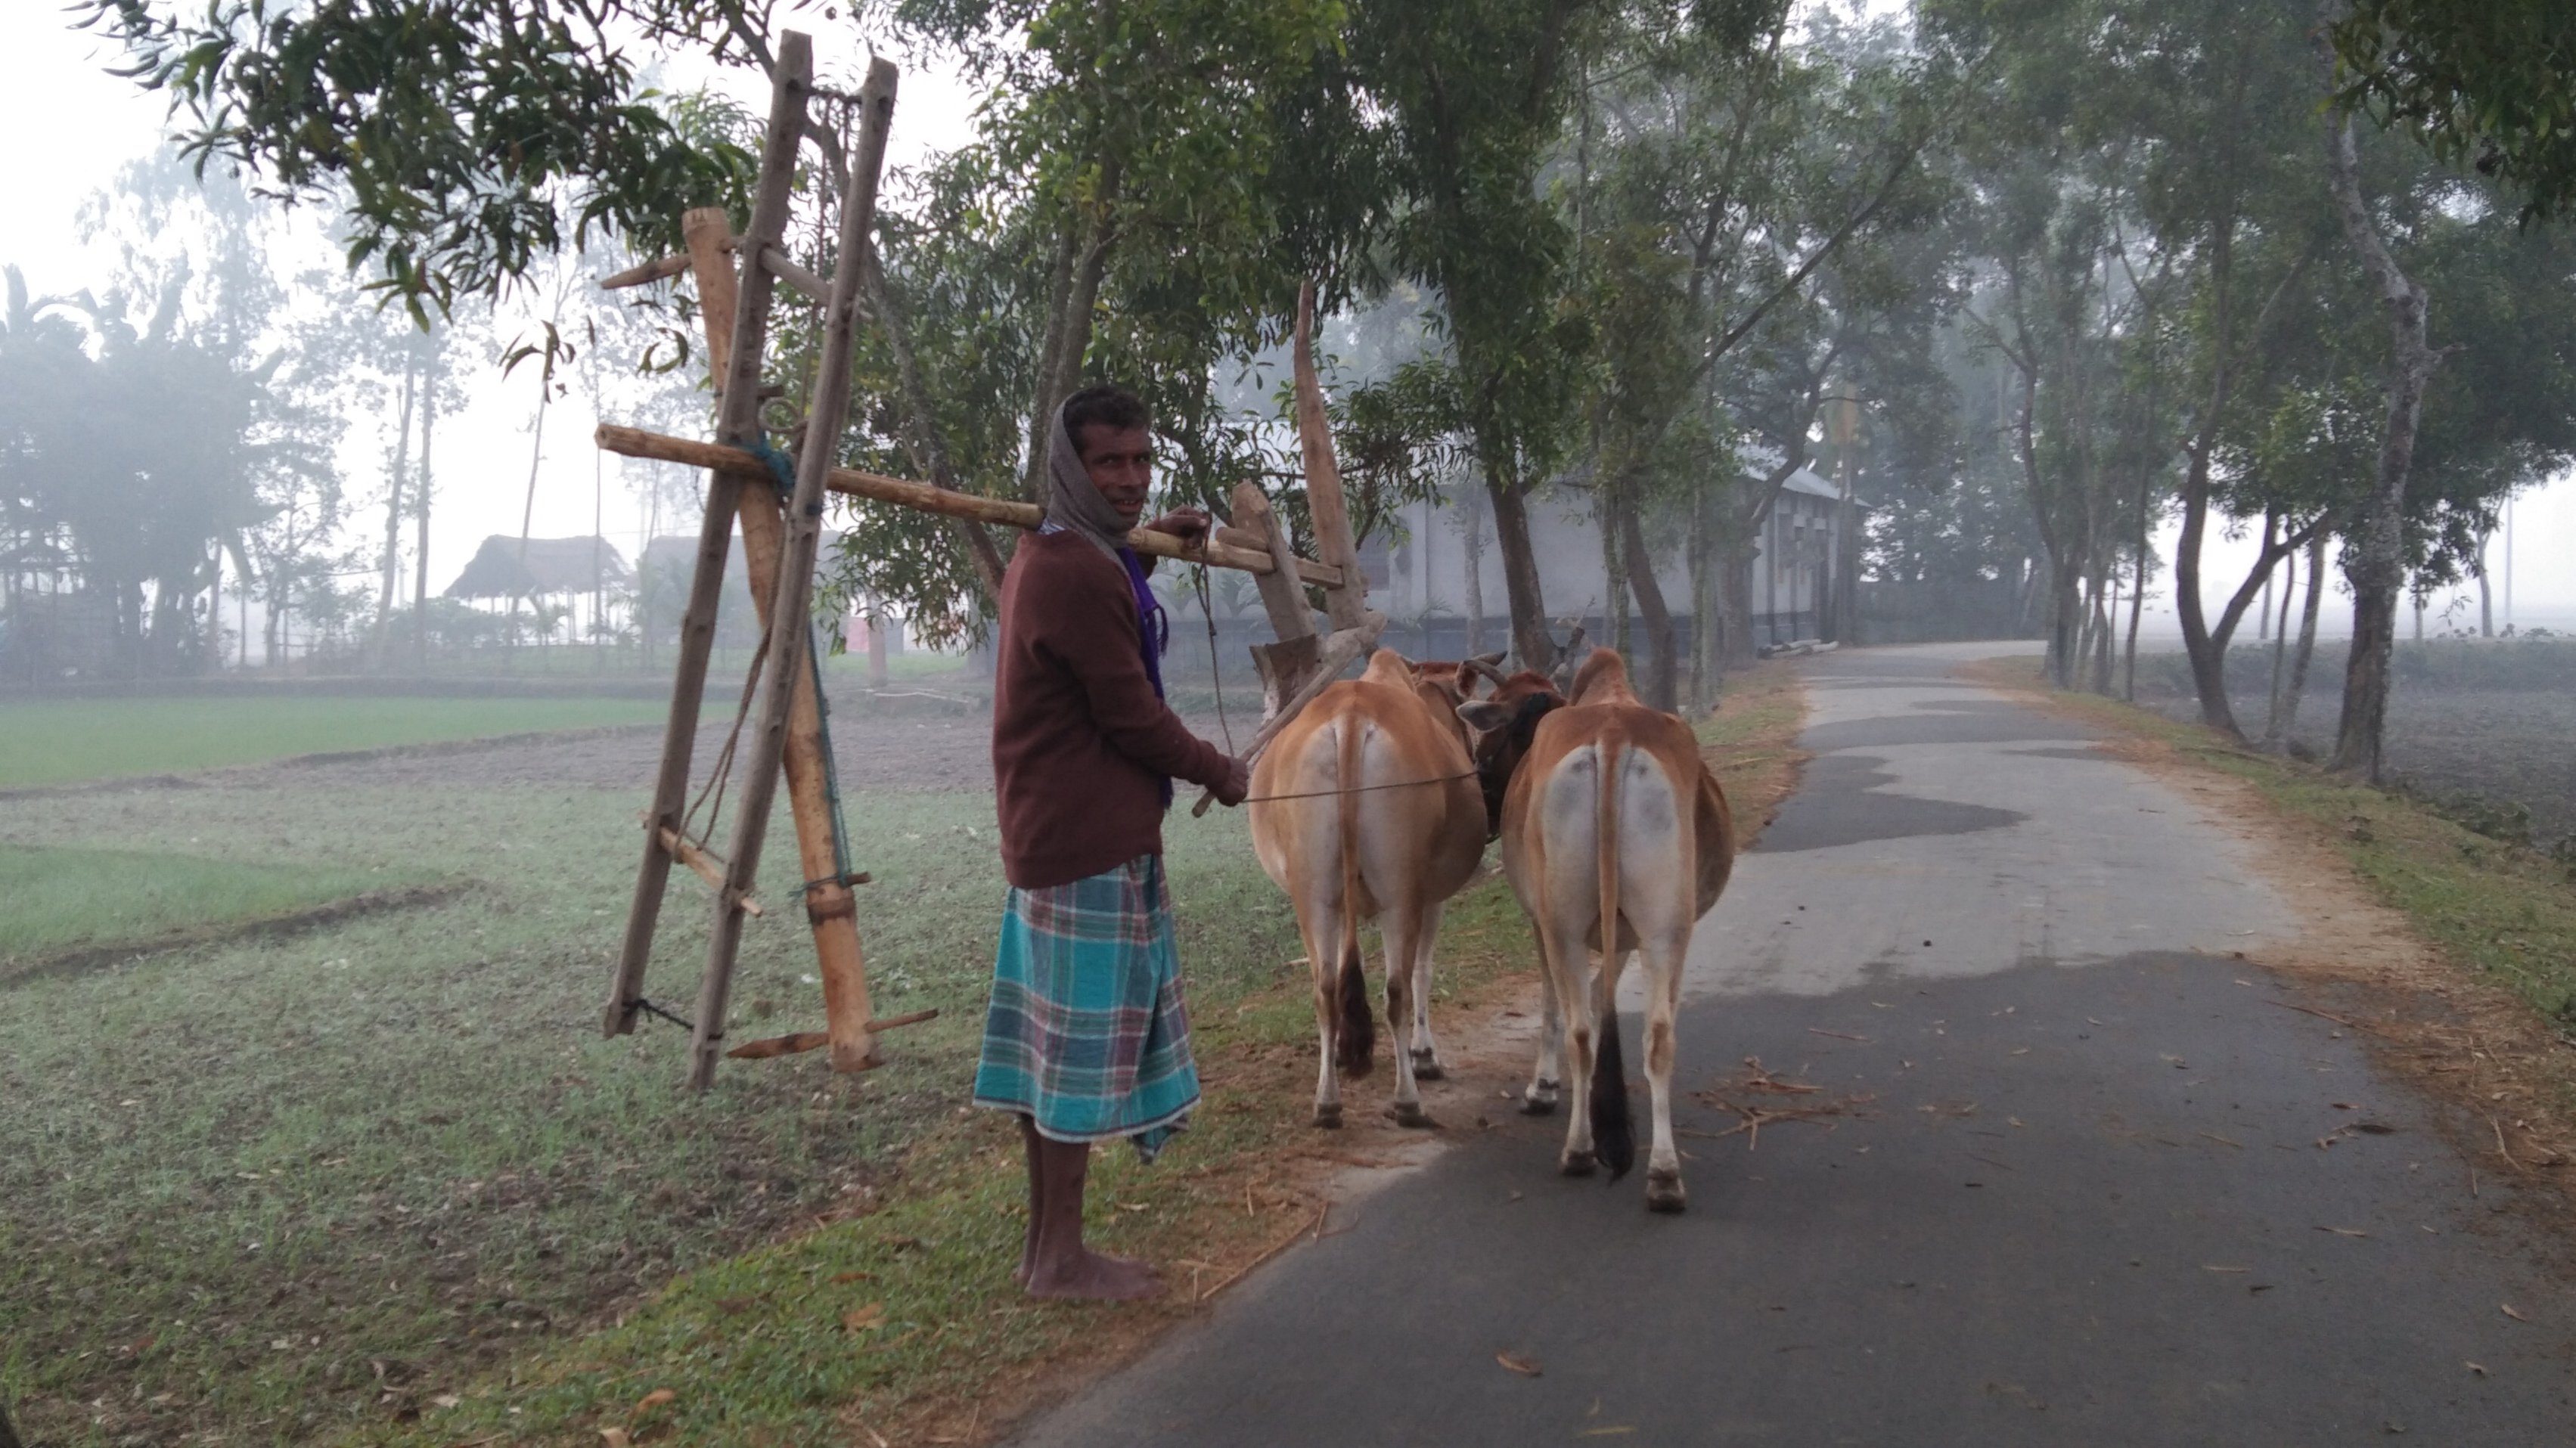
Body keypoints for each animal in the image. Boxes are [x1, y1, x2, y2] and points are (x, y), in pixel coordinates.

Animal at [1463, 643, 1741, 1205]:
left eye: (1493, 736)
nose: (1480, 785)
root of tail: (1612, 734)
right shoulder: (1627, 935)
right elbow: (1599, 994)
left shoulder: (1539, 920)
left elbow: (1556, 1004)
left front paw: (1542, 1088)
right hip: (1666, 928)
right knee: (1658, 1035)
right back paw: (1664, 1175)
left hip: (1563, 924)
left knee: (1579, 1031)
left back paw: (1579, 1150)